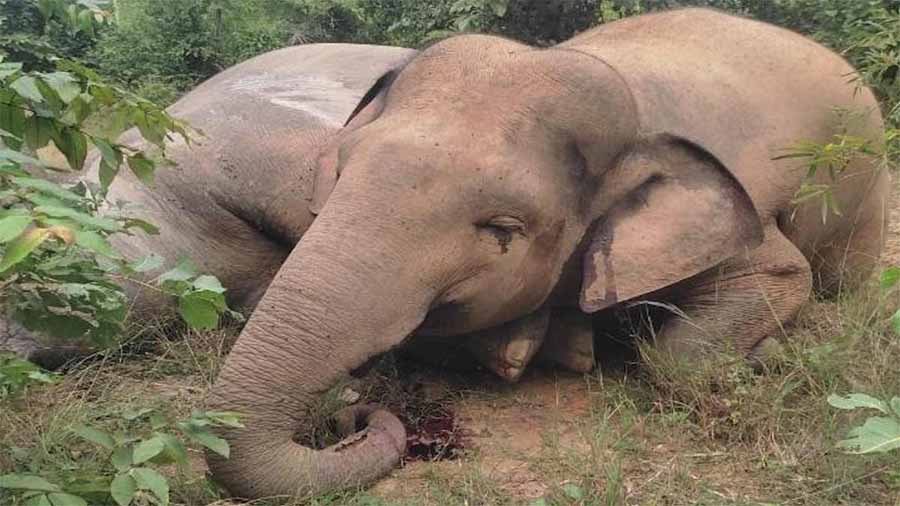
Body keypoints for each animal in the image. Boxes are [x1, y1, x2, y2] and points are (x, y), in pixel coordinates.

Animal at [1, 6, 892, 502]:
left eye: (501, 229)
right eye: (339, 173)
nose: (350, 414)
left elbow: (777, 275)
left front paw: (760, 359)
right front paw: (535, 344)